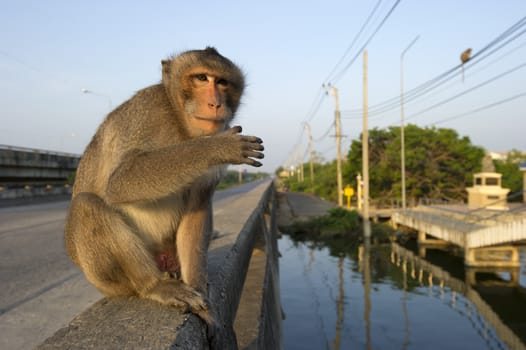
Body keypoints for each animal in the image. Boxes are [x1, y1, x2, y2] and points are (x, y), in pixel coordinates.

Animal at [65, 46, 264, 334]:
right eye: (202, 78)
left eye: (222, 82)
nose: (215, 103)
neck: (180, 123)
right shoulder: (148, 112)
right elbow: (120, 181)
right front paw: (215, 148)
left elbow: (197, 208)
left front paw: (203, 302)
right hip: (103, 278)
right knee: (86, 204)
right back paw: (155, 285)